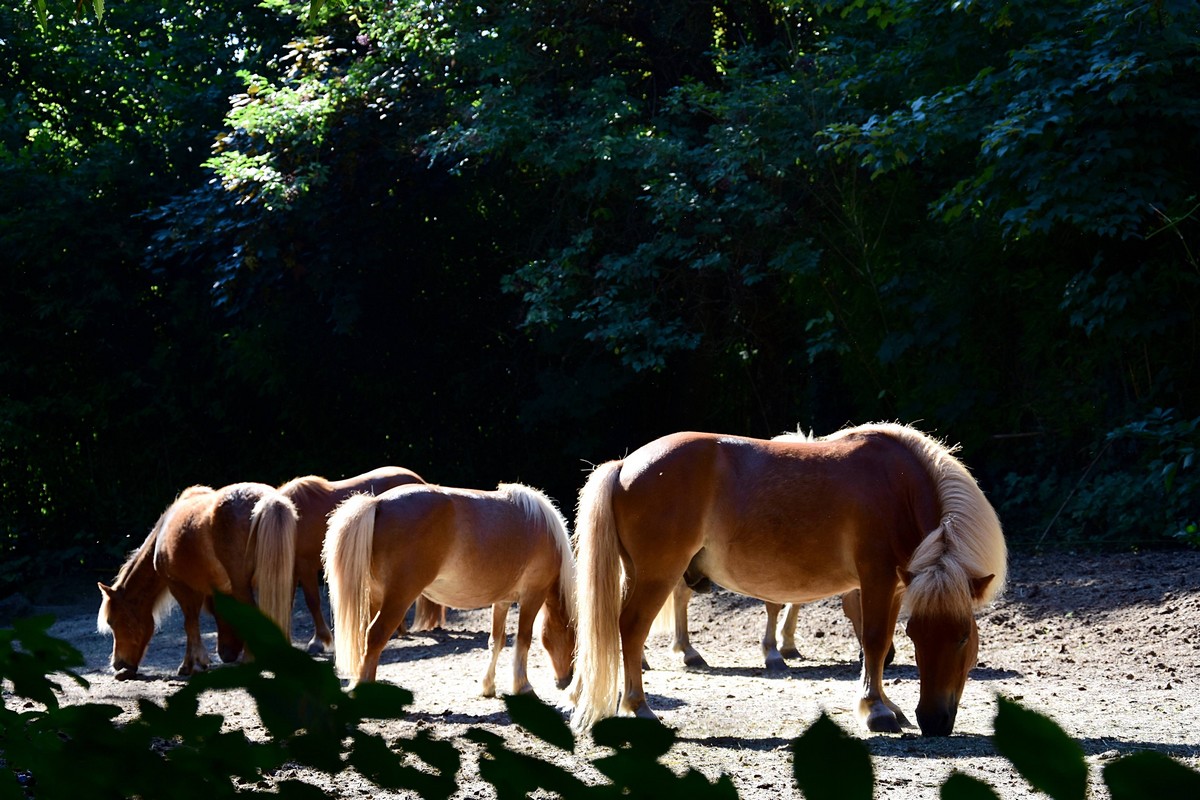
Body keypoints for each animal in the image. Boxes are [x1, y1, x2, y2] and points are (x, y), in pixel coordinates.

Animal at [96, 484, 297, 681]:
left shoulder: (181, 587)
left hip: (243, 586)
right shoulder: (208, 590)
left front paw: (191, 665)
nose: (117, 664)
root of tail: (269, 500)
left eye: (112, 621)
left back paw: (249, 660)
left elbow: (190, 623)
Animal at [324, 482, 576, 700]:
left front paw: (488, 686)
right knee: (375, 636)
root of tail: (378, 503)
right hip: (398, 600)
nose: (565, 682)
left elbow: (497, 641)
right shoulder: (533, 596)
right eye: (573, 639)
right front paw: (523, 687)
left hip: (375, 598)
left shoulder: (502, 602)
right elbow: (523, 640)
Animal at [571, 424, 1003, 738]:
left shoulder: (895, 586)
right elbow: (876, 642)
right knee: (632, 628)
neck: (898, 487)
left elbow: (877, 649)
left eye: (963, 637)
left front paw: (888, 705)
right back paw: (639, 708)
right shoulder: (876, 579)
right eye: (920, 636)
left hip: (639, 574)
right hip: (658, 575)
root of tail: (625, 466)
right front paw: (877, 711)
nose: (934, 722)